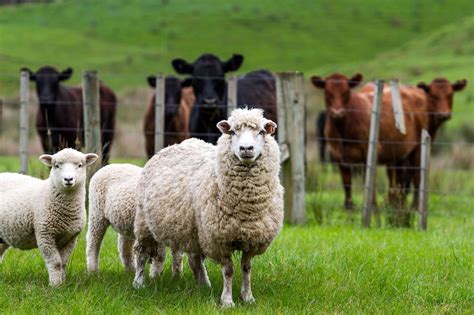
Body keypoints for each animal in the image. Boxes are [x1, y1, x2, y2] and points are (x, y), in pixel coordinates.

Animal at [0, 149, 97, 288]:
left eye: (80, 165)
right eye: (56, 165)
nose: (68, 179)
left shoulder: (70, 238)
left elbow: (63, 263)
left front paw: (62, 284)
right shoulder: (45, 234)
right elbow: (55, 263)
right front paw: (55, 286)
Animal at [134, 108, 282, 306]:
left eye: (262, 132)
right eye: (232, 132)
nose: (246, 149)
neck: (246, 208)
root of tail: (172, 145)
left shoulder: (252, 238)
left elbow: (246, 268)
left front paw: (248, 297)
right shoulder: (219, 239)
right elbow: (228, 270)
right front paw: (227, 301)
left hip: (194, 229)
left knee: (195, 259)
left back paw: (203, 285)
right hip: (144, 223)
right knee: (142, 253)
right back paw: (138, 283)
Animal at [312, 73, 430, 212]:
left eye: (346, 92)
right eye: (327, 92)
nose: (337, 112)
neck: (344, 133)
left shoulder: (369, 151)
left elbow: (368, 181)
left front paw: (372, 206)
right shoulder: (337, 155)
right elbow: (346, 183)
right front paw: (348, 207)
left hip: (418, 147)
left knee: (417, 177)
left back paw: (415, 207)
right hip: (399, 151)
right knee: (399, 179)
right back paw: (398, 205)